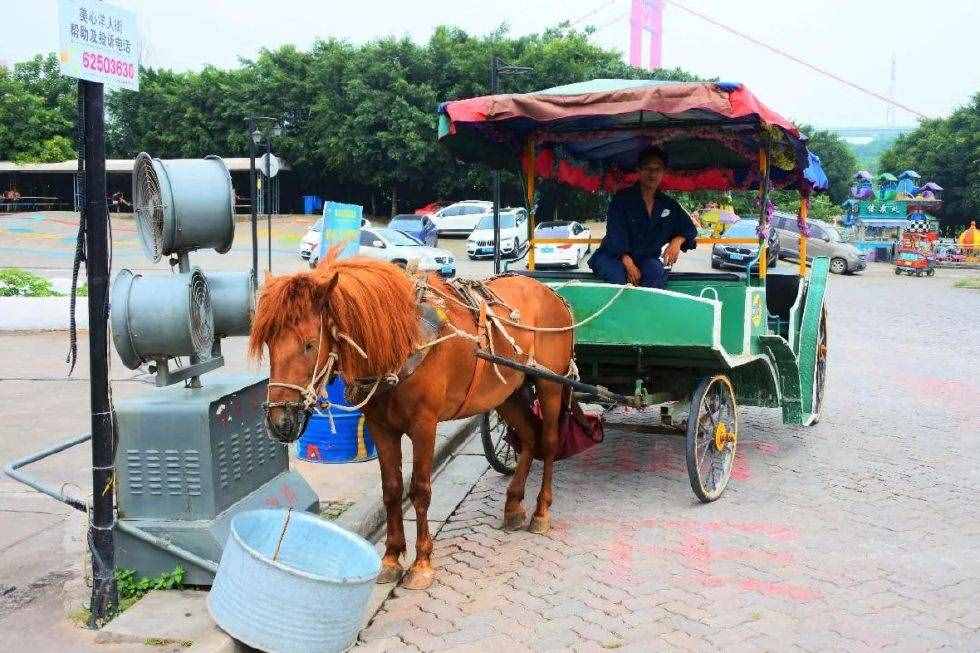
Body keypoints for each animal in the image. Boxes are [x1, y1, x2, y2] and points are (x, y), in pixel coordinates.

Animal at [249, 256, 580, 592]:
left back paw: (541, 511)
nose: (280, 421)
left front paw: (422, 562)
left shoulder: (424, 426)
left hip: (550, 384)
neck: (404, 344)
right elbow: (392, 489)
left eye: (308, 345)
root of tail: (552, 294)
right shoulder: (381, 428)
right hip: (508, 392)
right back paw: (513, 506)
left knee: (548, 442)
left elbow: (420, 490)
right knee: (529, 436)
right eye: (269, 343)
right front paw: (392, 558)